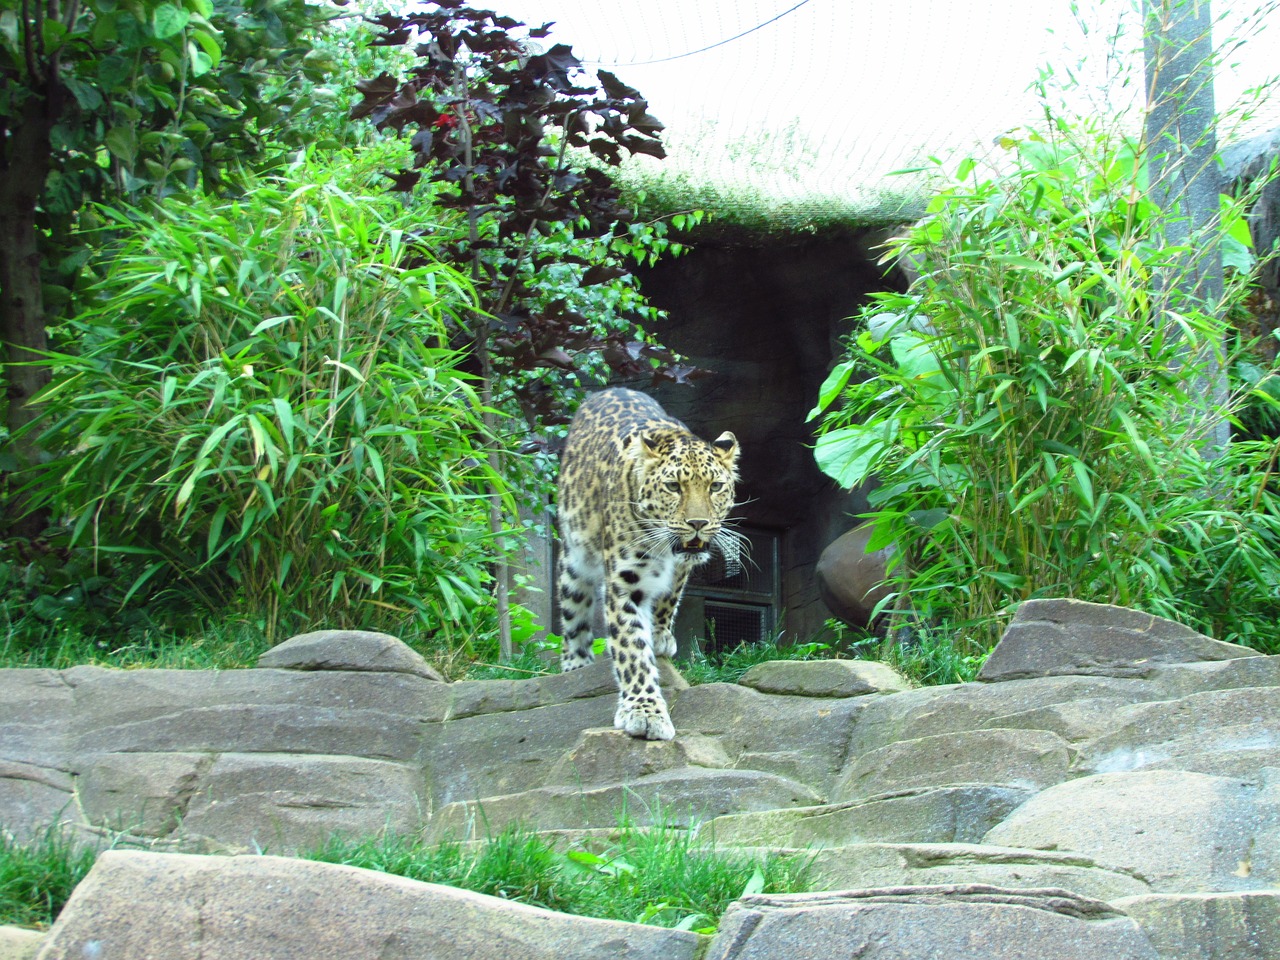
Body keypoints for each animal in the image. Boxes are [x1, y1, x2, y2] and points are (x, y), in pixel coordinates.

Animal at [558, 389, 742, 742]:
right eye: (673, 487)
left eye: (715, 487)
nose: (698, 524)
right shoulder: (623, 583)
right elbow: (632, 650)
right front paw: (644, 712)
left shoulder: (681, 567)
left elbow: (668, 599)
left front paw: (659, 635)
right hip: (574, 559)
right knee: (574, 610)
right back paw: (575, 664)